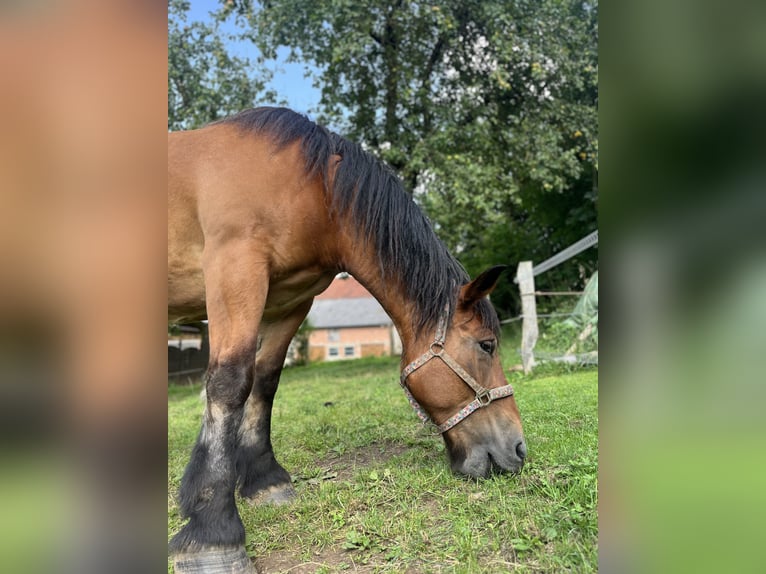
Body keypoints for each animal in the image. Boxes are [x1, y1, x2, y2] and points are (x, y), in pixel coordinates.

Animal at [168, 109, 528, 574]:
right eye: (487, 345)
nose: (518, 449)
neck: (311, 187)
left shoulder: (291, 300)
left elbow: (264, 382)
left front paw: (266, 481)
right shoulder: (235, 270)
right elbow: (230, 384)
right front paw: (213, 532)